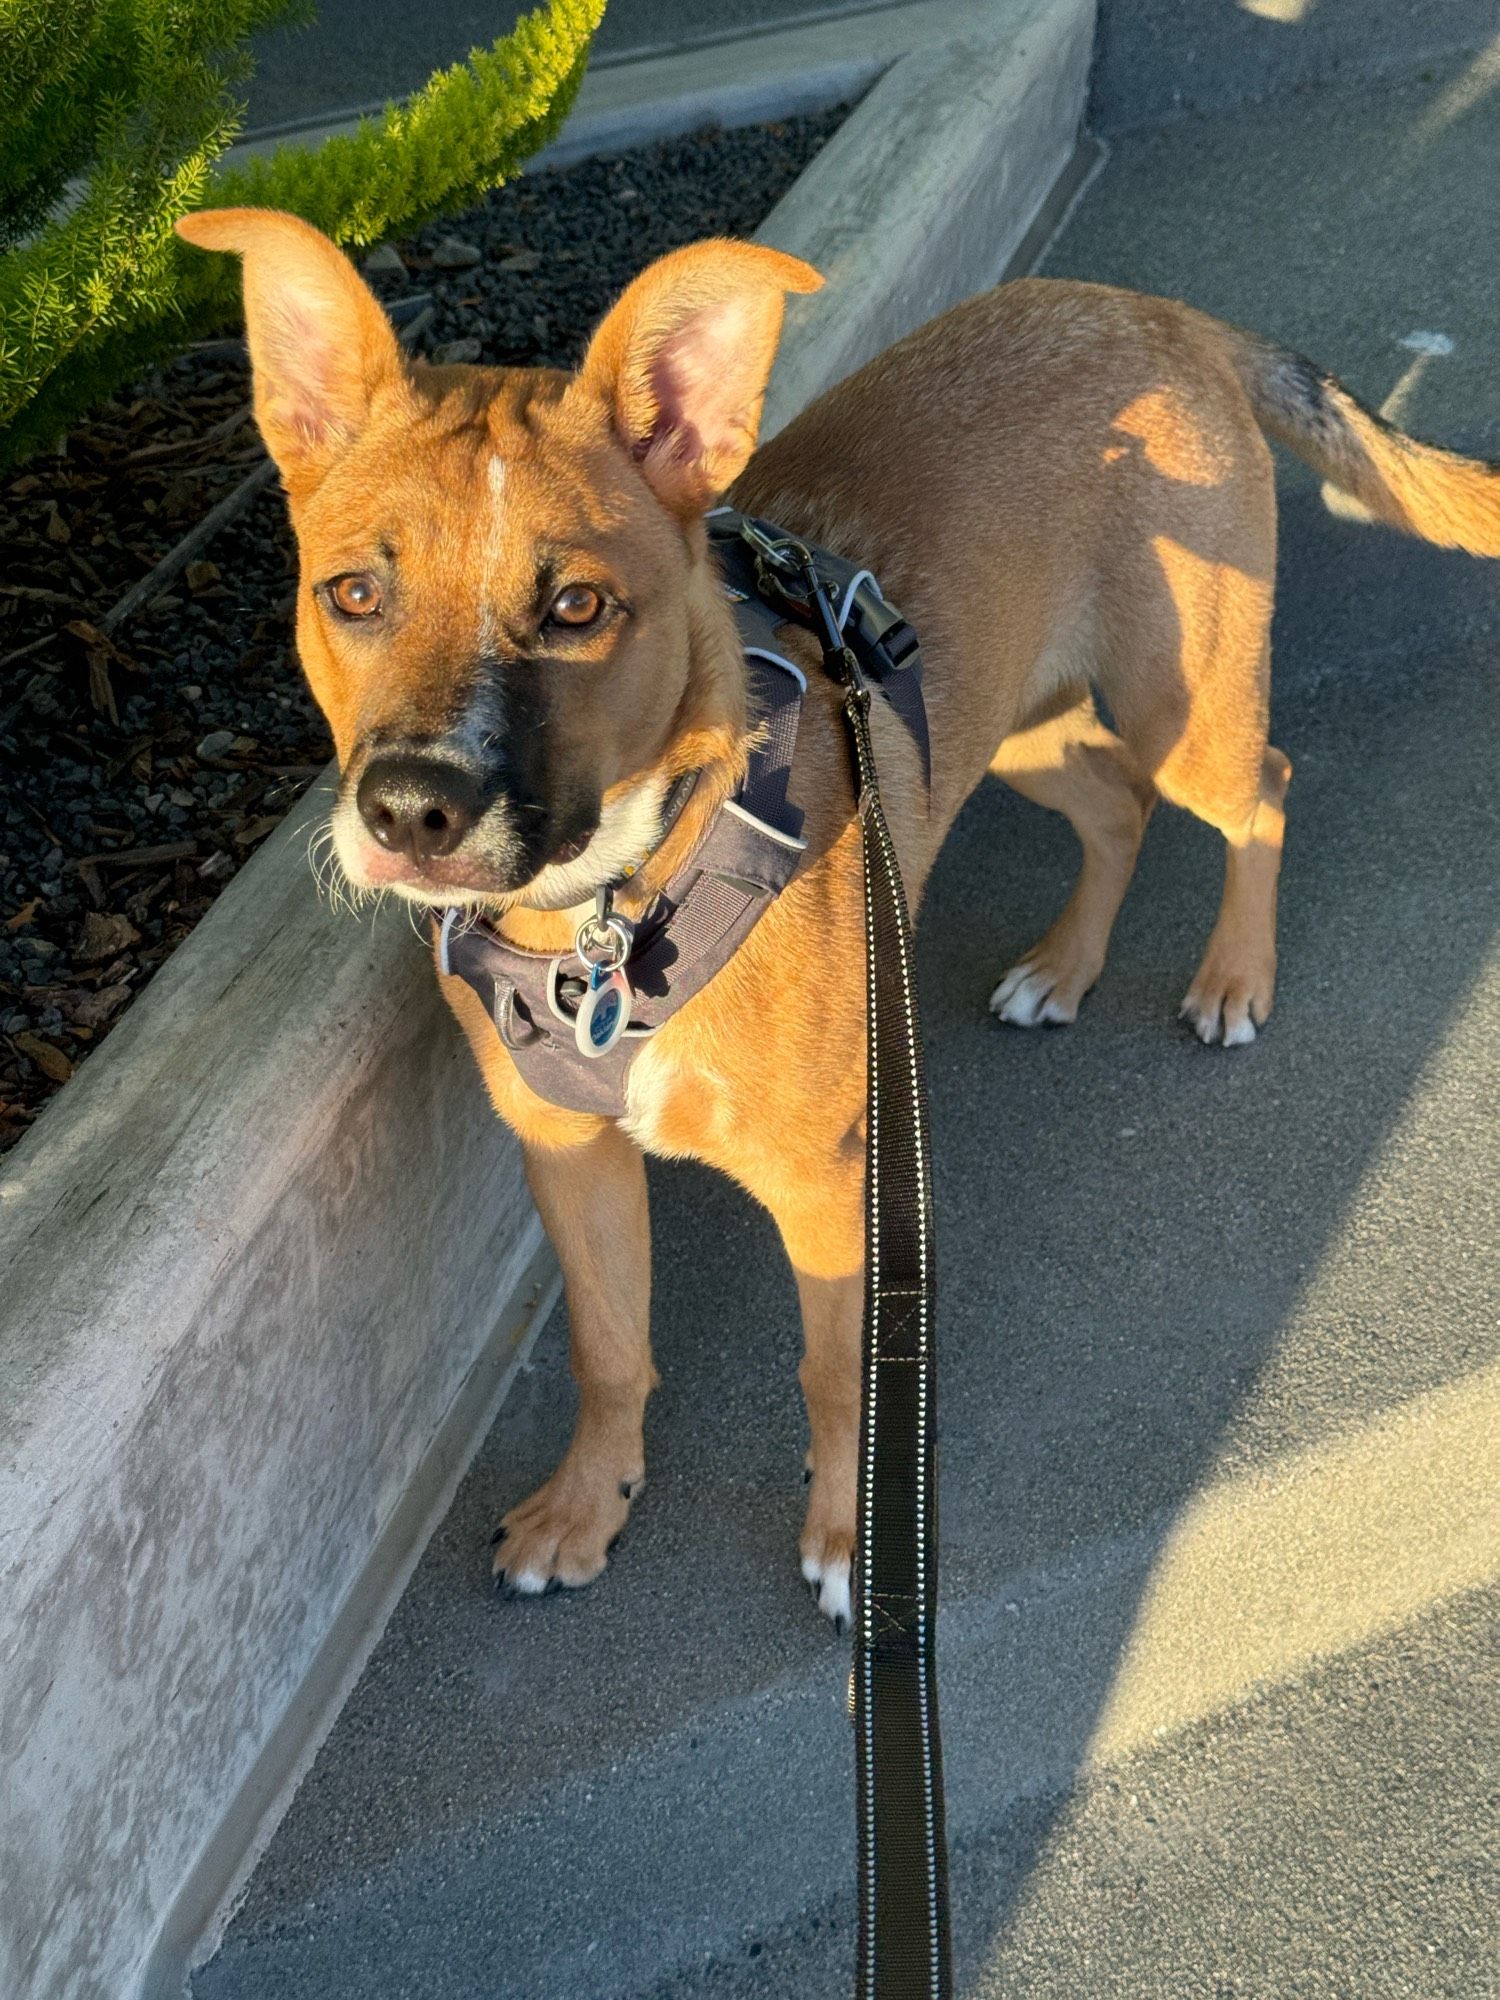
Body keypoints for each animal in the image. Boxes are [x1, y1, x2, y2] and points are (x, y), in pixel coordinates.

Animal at [179, 215, 1500, 1624]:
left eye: (578, 607)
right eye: (352, 594)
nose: (413, 809)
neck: (608, 914)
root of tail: (1158, 313)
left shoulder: (829, 1186)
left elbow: (832, 1371)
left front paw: (850, 1539)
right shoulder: (569, 1157)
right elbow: (609, 1347)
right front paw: (589, 1504)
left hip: (1178, 703)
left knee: (1260, 790)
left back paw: (1234, 975)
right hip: (1007, 726)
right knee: (1117, 805)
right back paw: (1064, 966)